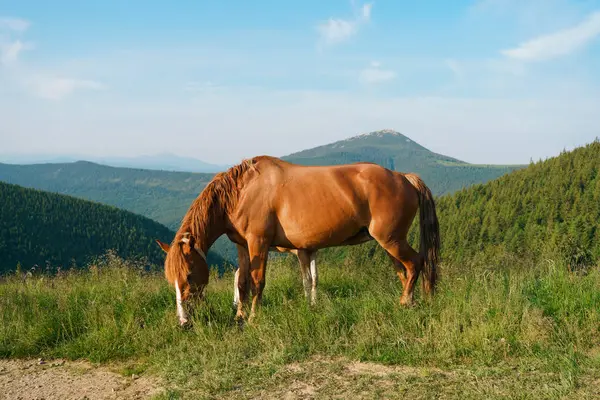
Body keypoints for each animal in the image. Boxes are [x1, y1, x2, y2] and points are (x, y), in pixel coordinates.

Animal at [155, 155, 438, 324]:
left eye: (189, 274)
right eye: (171, 279)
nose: (183, 322)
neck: (241, 191)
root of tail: (403, 177)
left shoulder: (259, 243)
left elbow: (258, 282)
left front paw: (254, 317)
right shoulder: (243, 246)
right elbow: (243, 282)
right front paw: (239, 315)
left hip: (392, 241)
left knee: (415, 263)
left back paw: (406, 302)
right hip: (389, 244)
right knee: (404, 271)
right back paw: (411, 300)